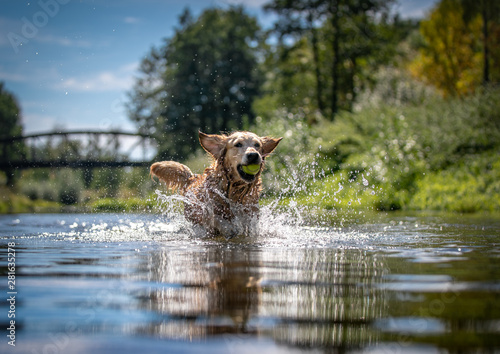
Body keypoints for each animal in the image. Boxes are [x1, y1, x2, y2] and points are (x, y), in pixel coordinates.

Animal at [150, 131, 282, 238]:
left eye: (257, 145)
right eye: (238, 144)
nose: (253, 155)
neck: (234, 191)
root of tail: (191, 177)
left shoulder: (251, 212)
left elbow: (249, 225)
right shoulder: (207, 211)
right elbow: (216, 218)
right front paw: (229, 228)